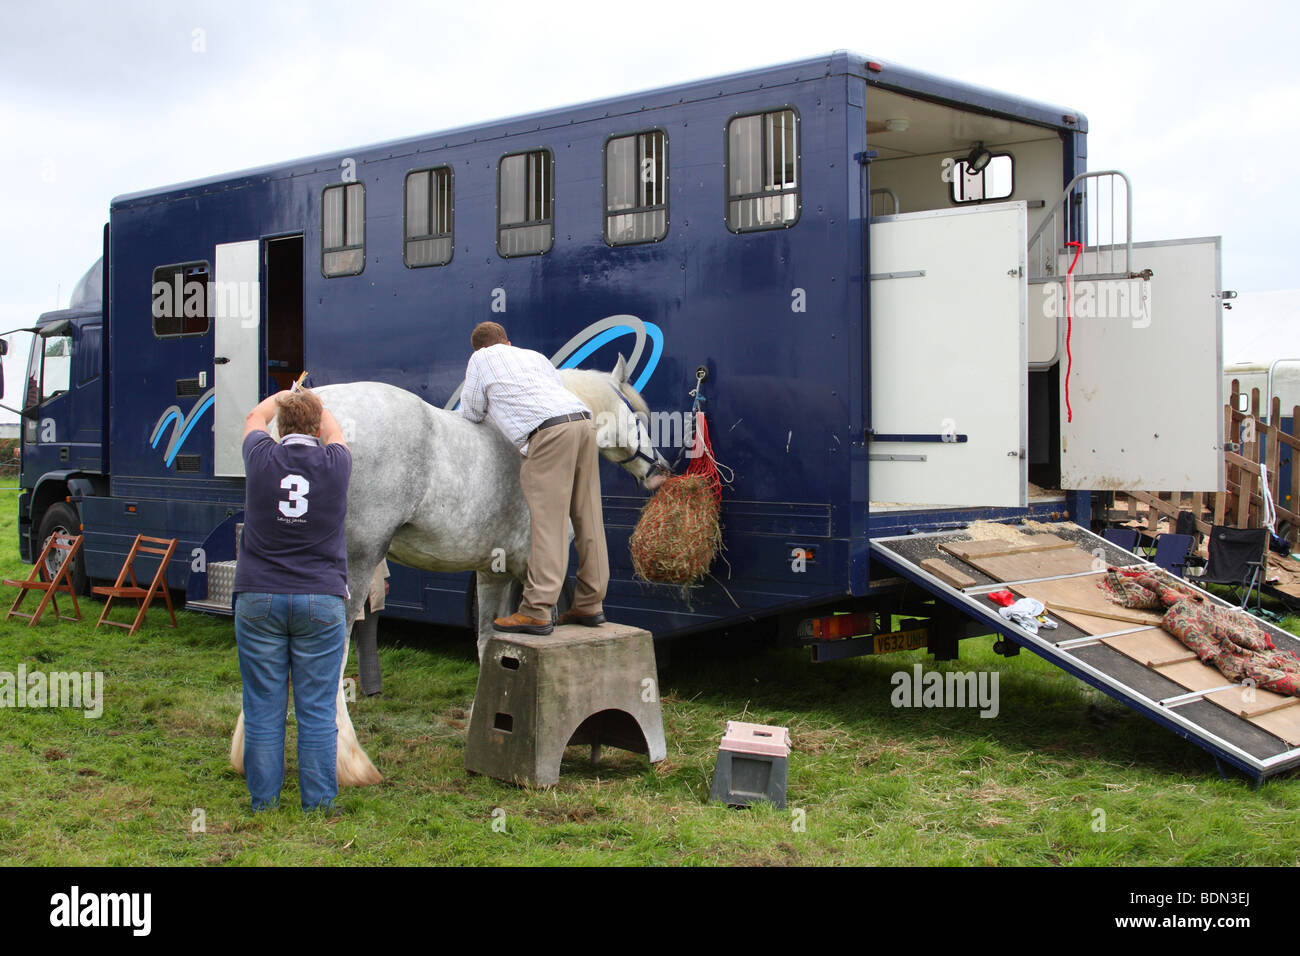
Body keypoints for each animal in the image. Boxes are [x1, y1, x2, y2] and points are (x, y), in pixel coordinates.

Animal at [230, 358, 670, 785]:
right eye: (638, 417)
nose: (660, 470)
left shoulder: (494, 572)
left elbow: (489, 641)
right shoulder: (536, 566)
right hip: (356, 563)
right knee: (330, 653)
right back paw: (349, 763)